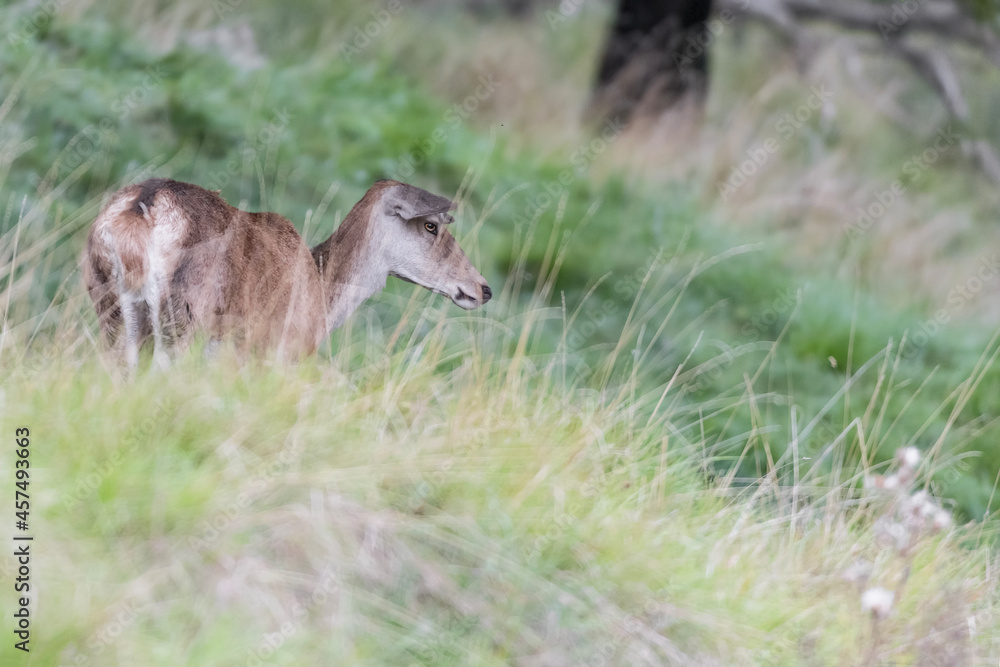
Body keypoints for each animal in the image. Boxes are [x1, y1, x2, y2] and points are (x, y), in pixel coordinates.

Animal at [84, 176, 490, 366]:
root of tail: (141, 208)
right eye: (431, 225)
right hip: (183, 323)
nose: (482, 288)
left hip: (112, 310)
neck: (323, 304)